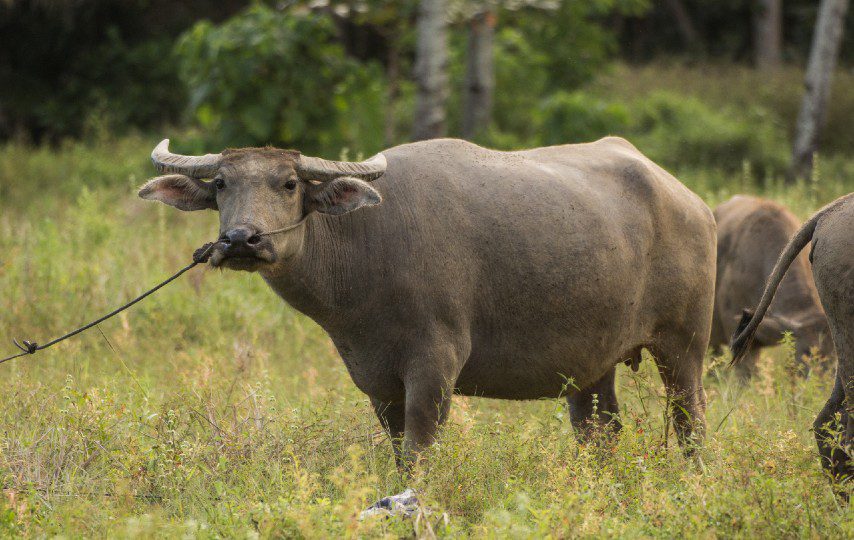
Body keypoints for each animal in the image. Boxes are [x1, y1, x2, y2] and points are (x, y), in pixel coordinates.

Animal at [140, 137, 716, 470]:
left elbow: (420, 450)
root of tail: (690, 200)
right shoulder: (375, 377)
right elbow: (398, 452)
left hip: (683, 346)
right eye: (221, 182)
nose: (242, 239)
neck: (366, 246)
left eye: (287, 183)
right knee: (601, 432)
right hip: (592, 364)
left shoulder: (436, 363)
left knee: (690, 420)